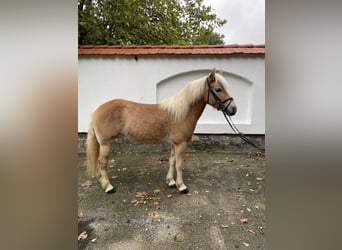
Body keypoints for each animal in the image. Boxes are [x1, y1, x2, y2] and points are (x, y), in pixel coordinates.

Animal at [85, 68, 236, 193]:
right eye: (218, 89)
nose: (233, 109)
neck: (182, 112)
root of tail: (97, 109)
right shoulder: (181, 144)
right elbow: (180, 164)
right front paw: (181, 186)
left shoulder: (174, 143)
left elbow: (172, 161)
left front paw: (171, 181)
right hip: (105, 143)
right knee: (103, 162)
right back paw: (108, 186)